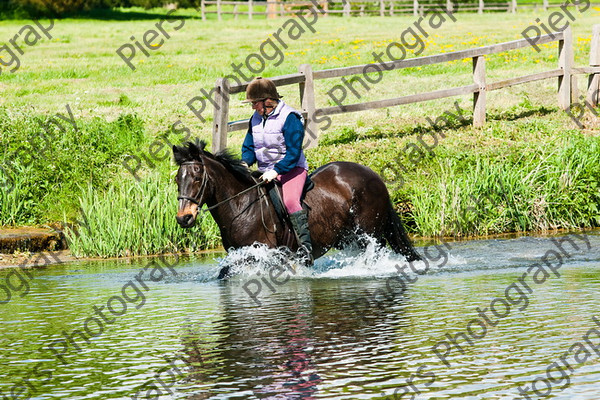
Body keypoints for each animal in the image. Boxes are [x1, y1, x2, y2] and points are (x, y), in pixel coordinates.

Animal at [171, 141, 420, 272]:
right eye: (177, 179)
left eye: (196, 177)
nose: (184, 218)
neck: (241, 206)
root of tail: (373, 174)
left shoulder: (262, 253)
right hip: (347, 237)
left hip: (369, 234)